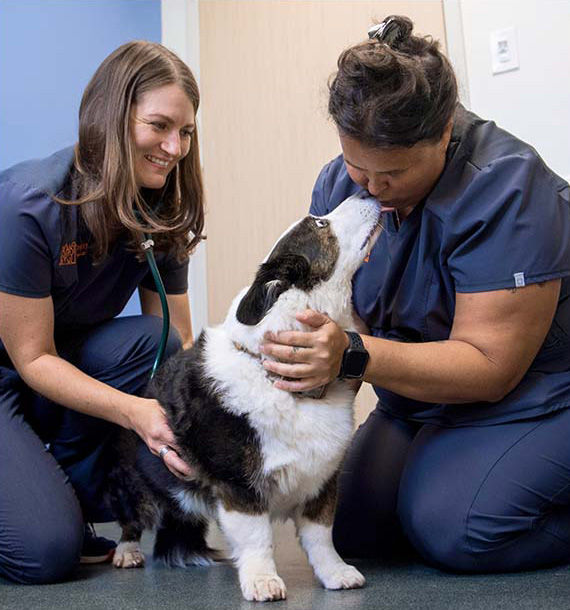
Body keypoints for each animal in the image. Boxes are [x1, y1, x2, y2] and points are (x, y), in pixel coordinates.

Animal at [108, 194, 380, 600]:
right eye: (319, 223)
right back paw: (127, 551)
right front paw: (263, 581)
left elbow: (321, 537)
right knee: (132, 515)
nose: (367, 194)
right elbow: (257, 538)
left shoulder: (321, 480)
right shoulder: (238, 486)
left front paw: (336, 574)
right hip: (137, 478)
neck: (280, 380)